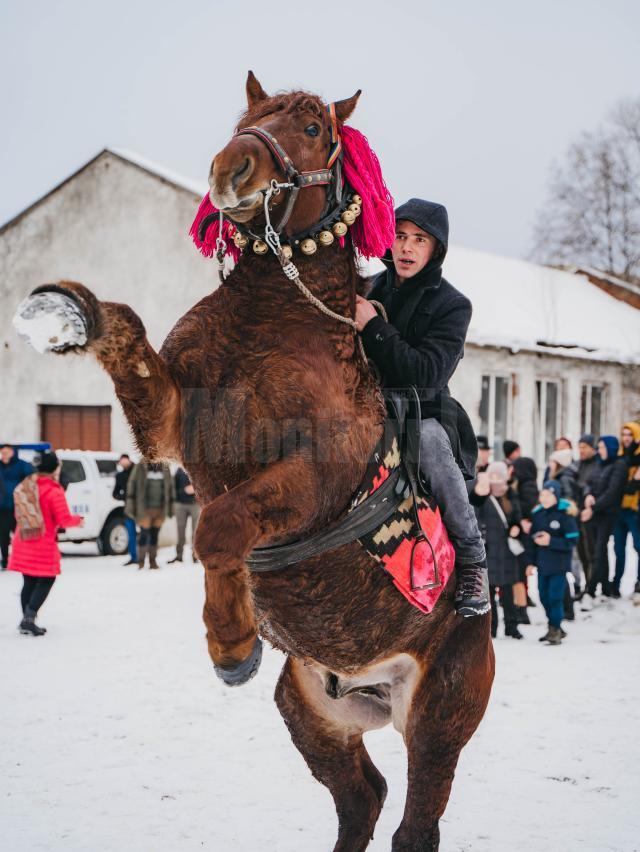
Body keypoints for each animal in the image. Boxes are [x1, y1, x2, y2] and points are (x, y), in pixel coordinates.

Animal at [13, 75, 496, 852]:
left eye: (313, 126)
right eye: (246, 115)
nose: (230, 170)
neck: (271, 324)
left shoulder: (314, 475)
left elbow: (221, 523)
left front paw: (233, 642)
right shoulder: (170, 422)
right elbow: (125, 331)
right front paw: (66, 314)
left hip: (439, 717)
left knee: (415, 821)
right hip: (313, 713)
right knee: (361, 798)